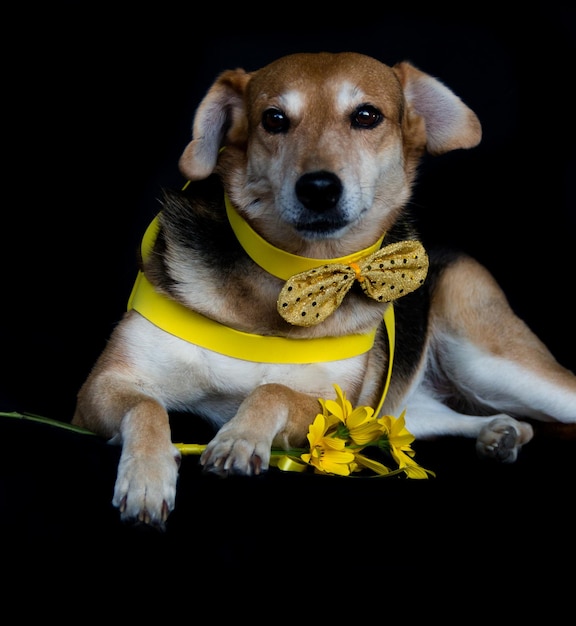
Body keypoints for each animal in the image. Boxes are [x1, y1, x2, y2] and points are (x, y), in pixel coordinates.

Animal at [72, 52, 576, 528]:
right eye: (274, 119)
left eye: (367, 116)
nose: (318, 188)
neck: (287, 279)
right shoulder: (101, 387)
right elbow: (146, 408)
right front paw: (146, 477)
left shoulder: (334, 410)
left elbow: (273, 392)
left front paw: (239, 437)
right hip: (409, 405)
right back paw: (501, 432)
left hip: (491, 361)